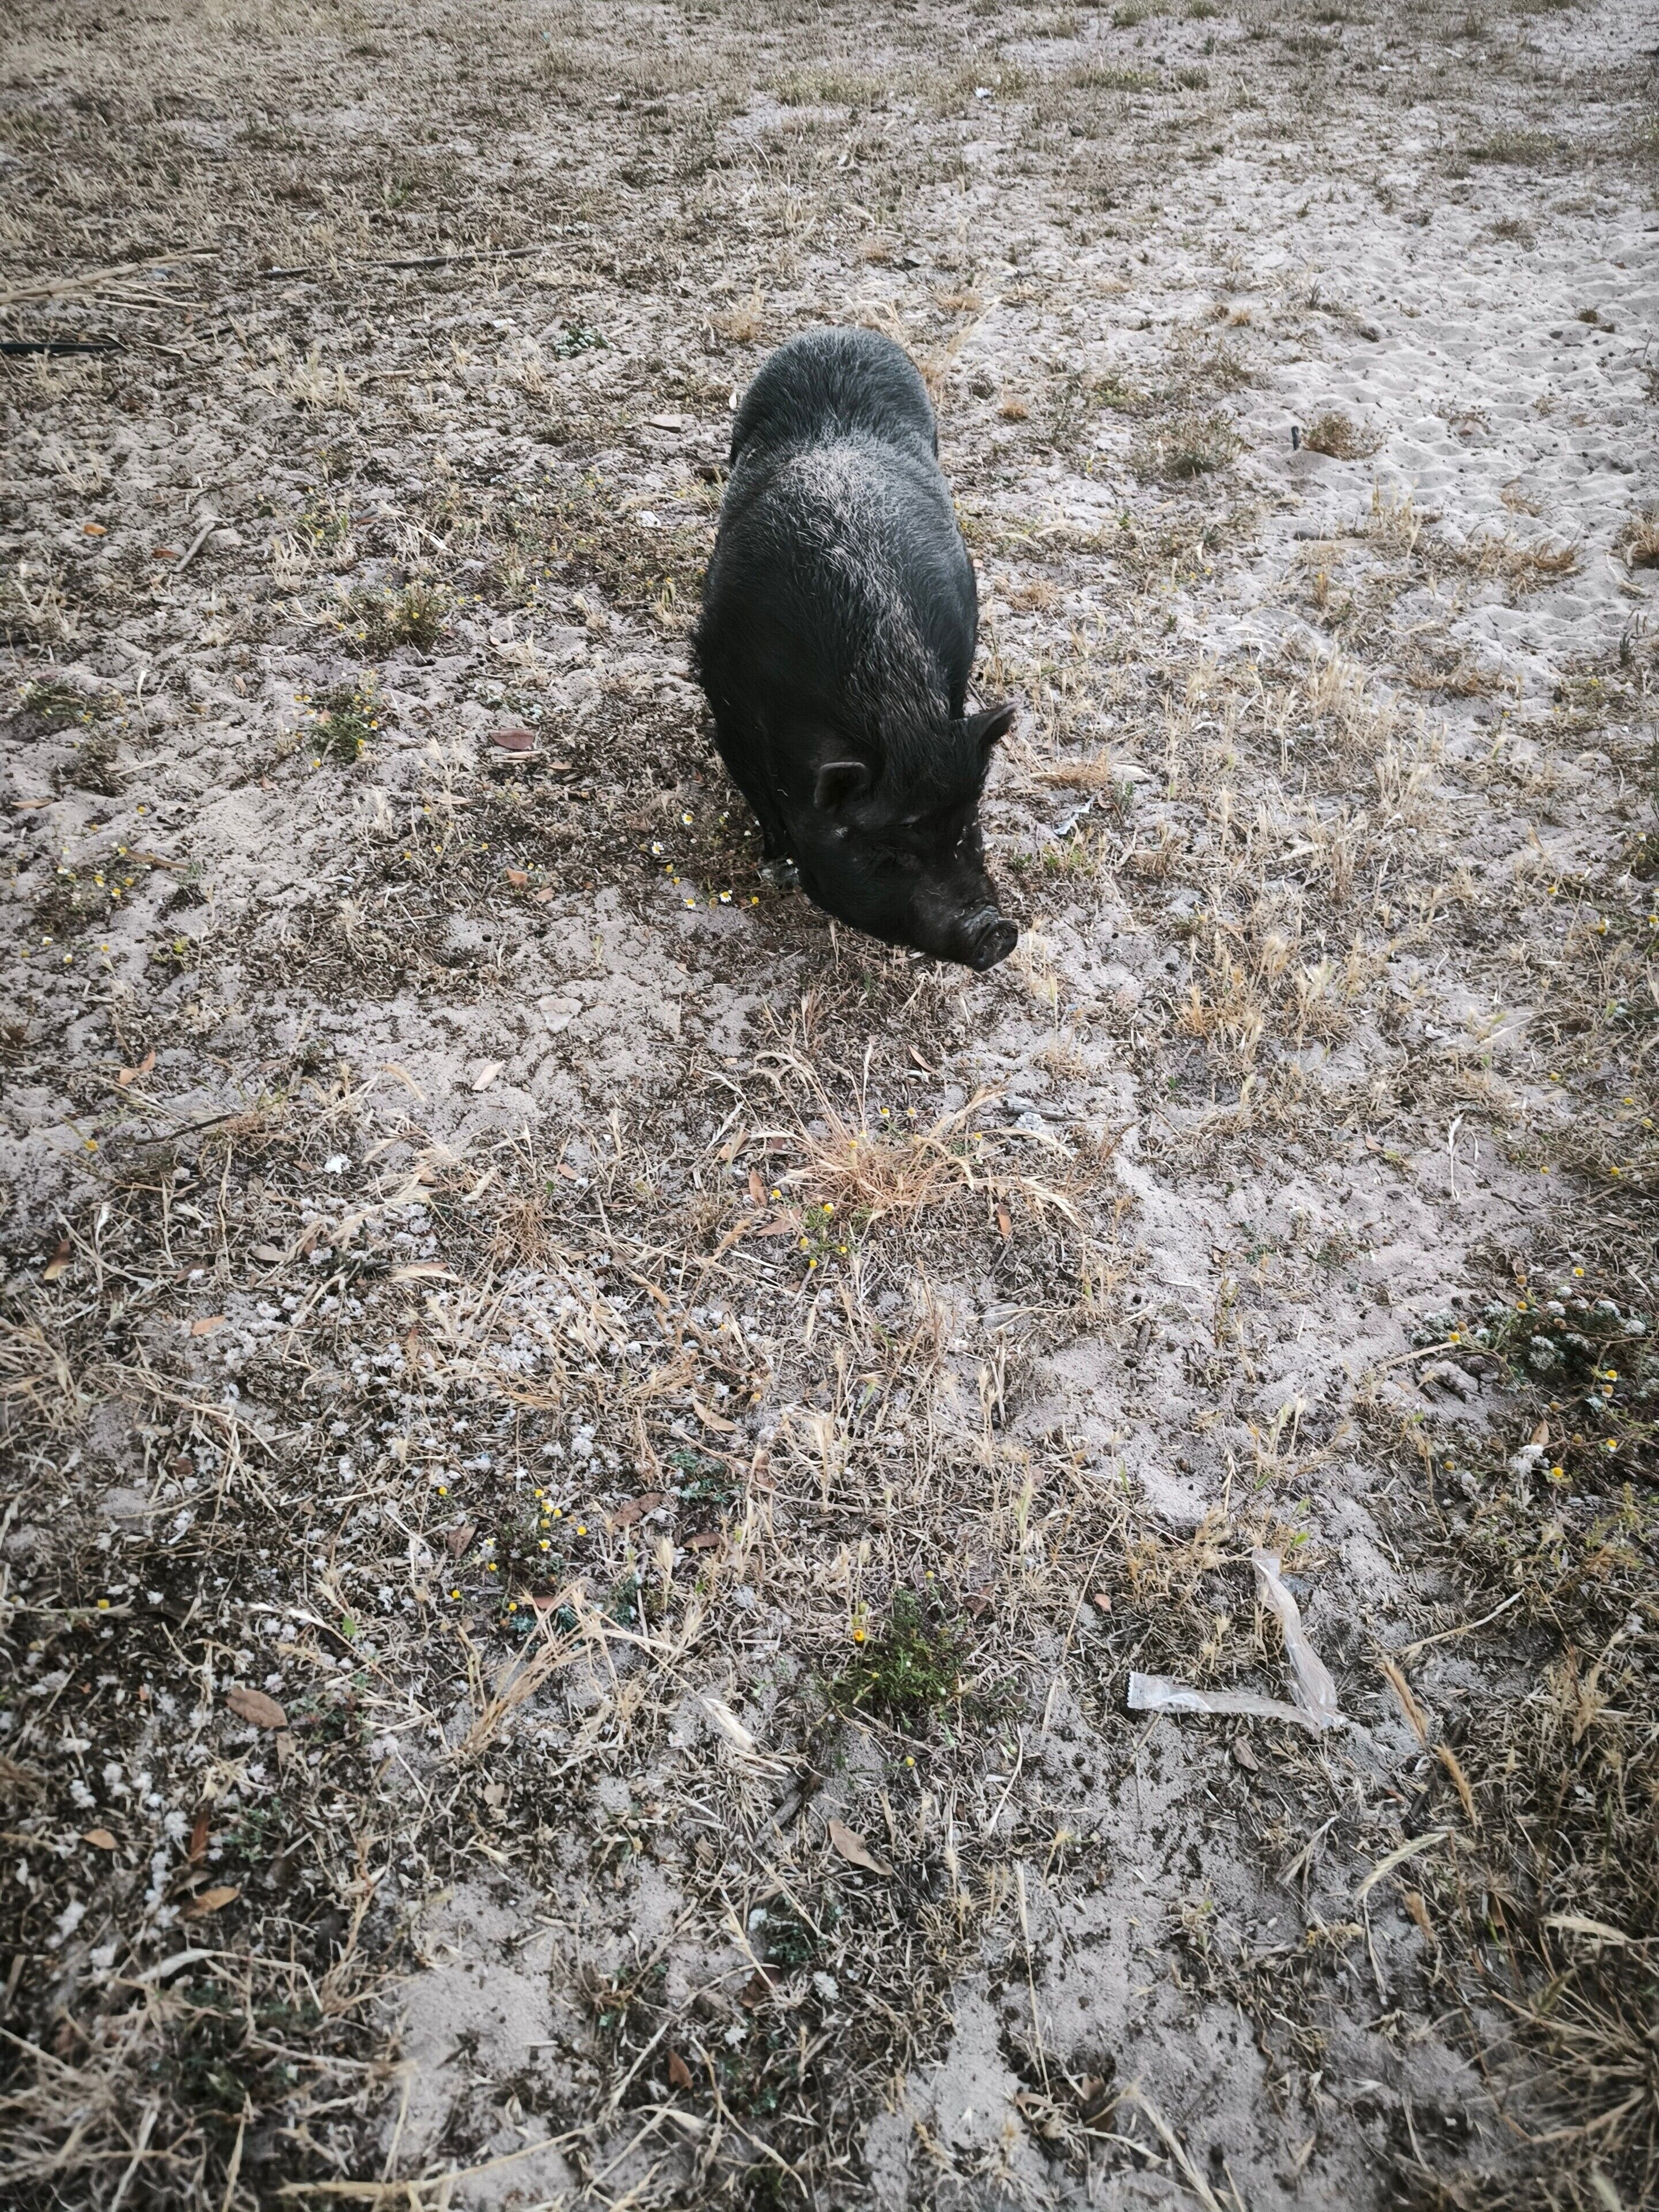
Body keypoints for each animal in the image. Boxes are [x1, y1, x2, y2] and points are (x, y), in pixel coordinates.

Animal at [692, 328, 1019, 972]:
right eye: (887, 854)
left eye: (967, 829)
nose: (997, 931)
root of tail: (841, 332)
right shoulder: (727, 710)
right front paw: (776, 868)